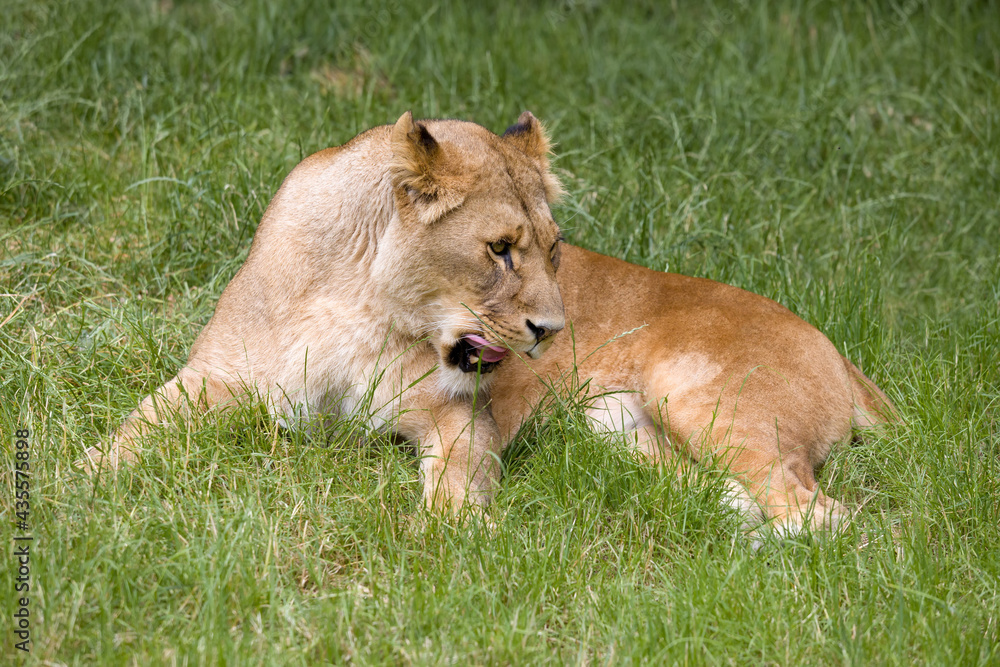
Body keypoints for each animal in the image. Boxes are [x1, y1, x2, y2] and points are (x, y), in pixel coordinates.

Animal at [86, 111, 896, 536]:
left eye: (554, 247)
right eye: (501, 249)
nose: (554, 330)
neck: (361, 304)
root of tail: (840, 352)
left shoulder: (456, 415)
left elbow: (455, 479)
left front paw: (446, 540)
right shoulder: (215, 377)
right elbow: (134, 427)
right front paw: (83, 485)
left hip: (697, 390)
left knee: (825, 513)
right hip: (627, 435)